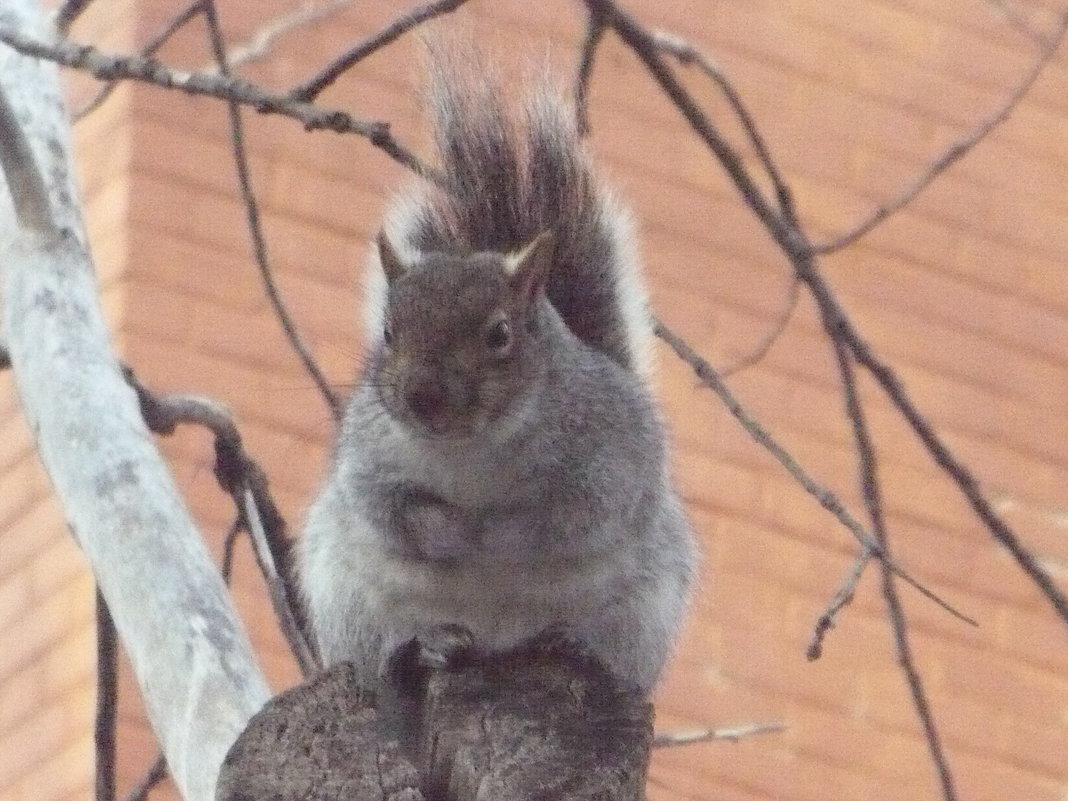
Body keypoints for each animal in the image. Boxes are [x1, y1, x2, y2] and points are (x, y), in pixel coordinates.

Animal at [299, 56, 700, 696]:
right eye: (388, 331)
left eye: (499, 334)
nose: (423, 397)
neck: (472, 452)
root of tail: (492, 647)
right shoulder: (370, 460)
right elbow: (391, 508)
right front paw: (453, 535)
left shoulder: (608, 458)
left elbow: (568, 515)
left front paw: (498, 536)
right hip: (348, 603)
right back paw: (428, 644)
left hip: (642, 612)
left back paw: (567, 646)